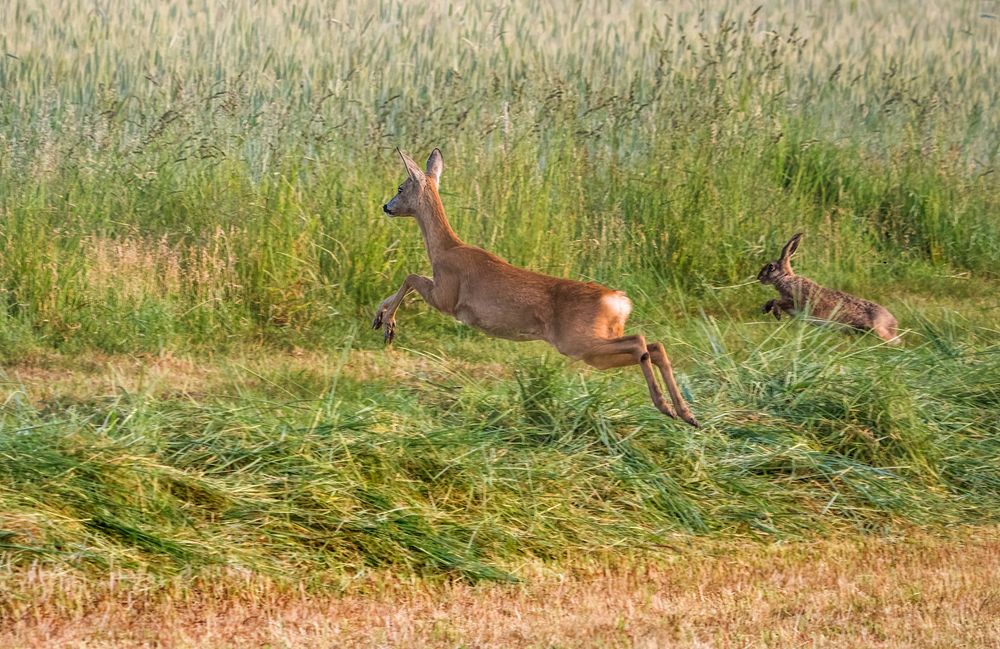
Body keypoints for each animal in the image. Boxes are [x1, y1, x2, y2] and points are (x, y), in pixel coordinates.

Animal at [372, 149, 700, 428]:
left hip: (578, 341)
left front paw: (388, 324)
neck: (445, 248)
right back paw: (686, 413)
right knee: (654, 346)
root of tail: (618, 300)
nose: (386, 206)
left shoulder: (447, 295)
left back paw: (666, 406)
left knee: (640, 342)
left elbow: (410, 276)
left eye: (400, 187)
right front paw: (378, 317)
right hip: (597, 346)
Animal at [756, 233, 900, 344]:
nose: (759, 278)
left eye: (771, 267)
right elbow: (772, 300)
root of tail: (893, 322)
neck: (786, 278)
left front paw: (776, 314)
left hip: (878, 329)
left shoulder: (795, 300)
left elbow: (777, 301)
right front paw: (765, 309)